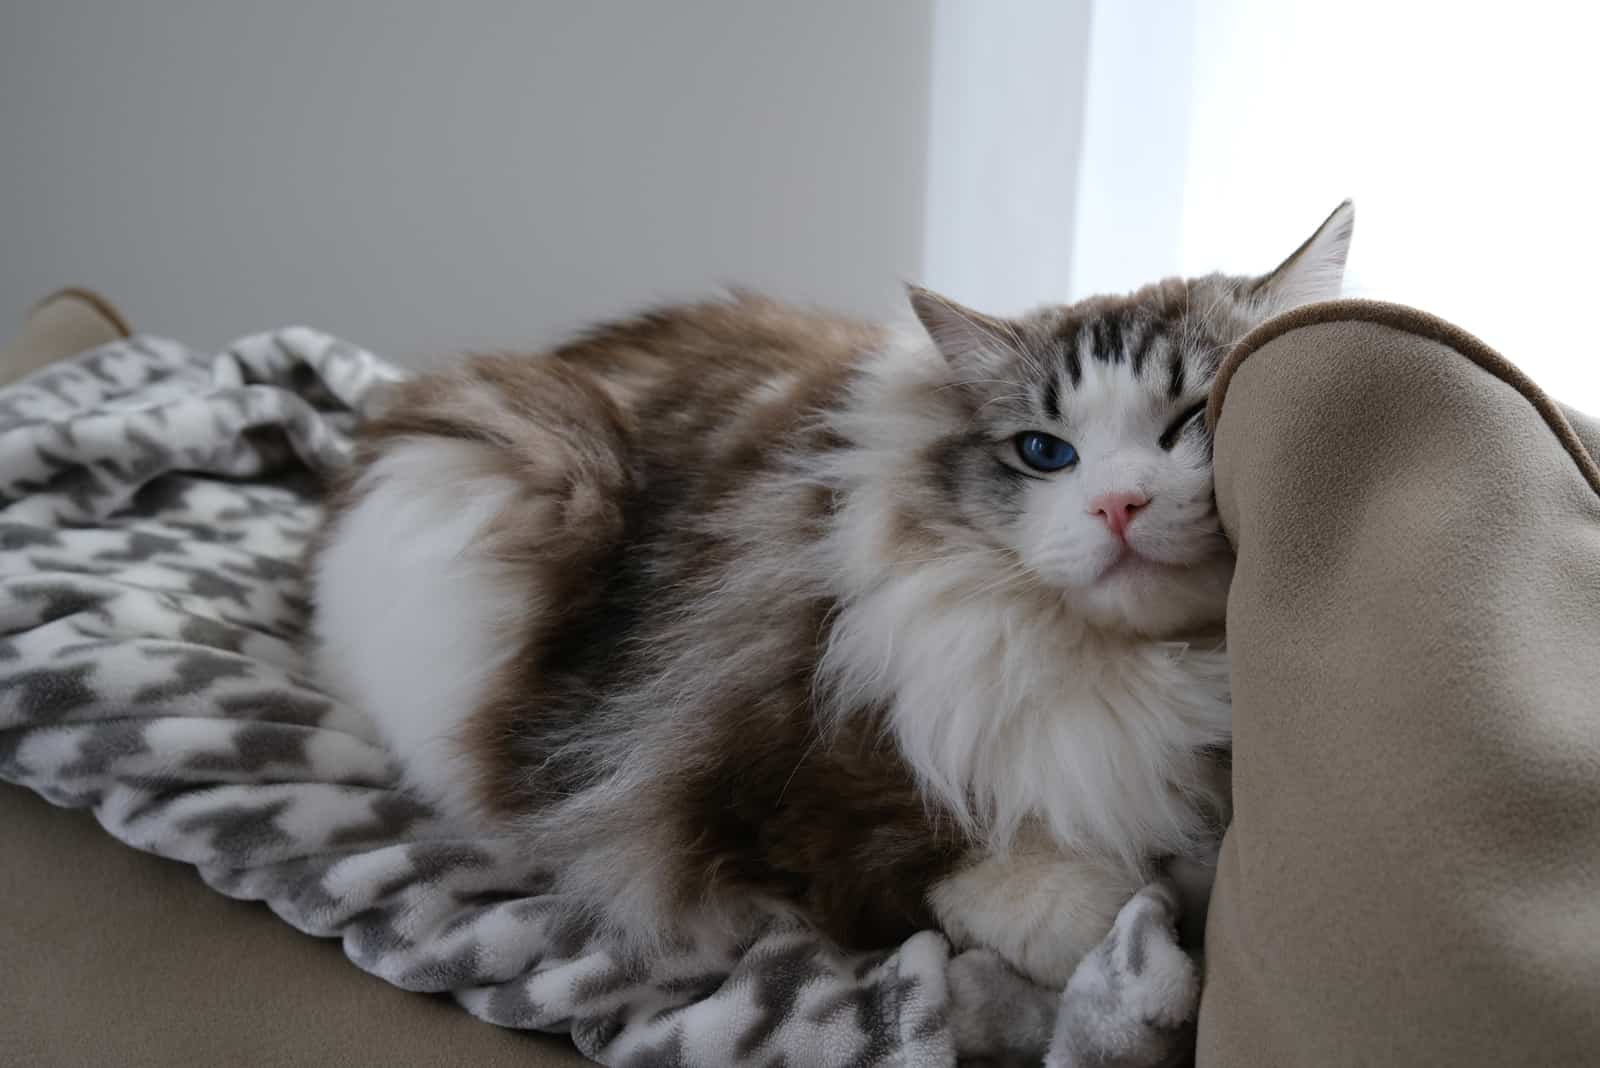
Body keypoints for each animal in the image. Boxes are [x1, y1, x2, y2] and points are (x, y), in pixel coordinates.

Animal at [308, 198, 1350, 984]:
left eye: (1192, 420)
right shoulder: (793, 780)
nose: (1118, 505)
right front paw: (1131, 916)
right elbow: (1042, 896)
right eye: (1045, 453)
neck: (1151, 676)